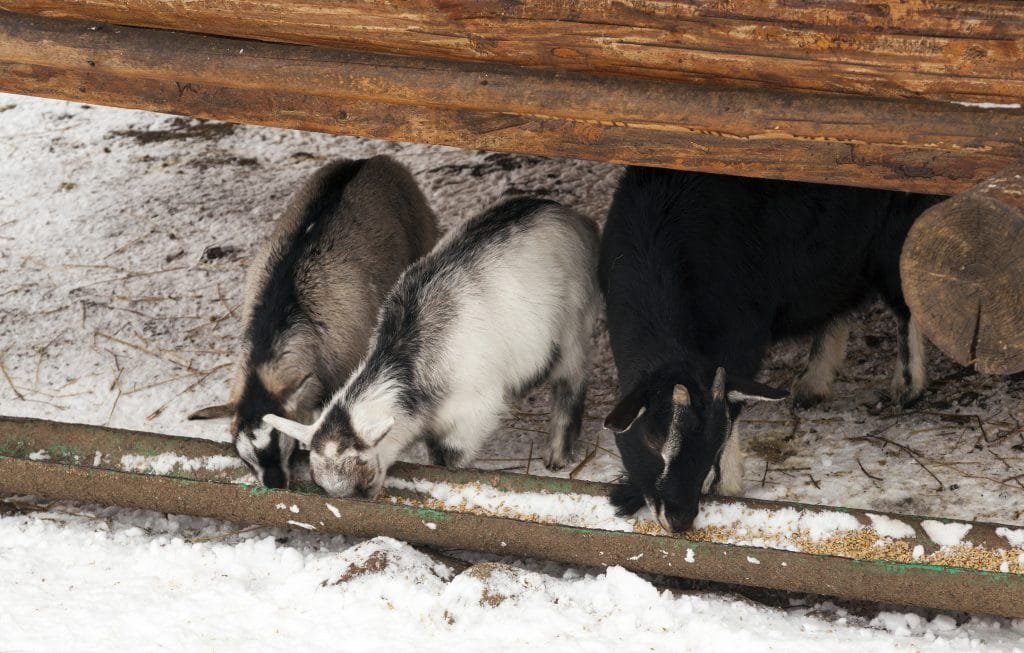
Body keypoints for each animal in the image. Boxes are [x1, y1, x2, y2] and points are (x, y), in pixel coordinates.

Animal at [262, 196, 598, 499]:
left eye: (366, 472)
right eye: (319, 482)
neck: (408, 355)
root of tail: (572, 217)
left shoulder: (471, 414)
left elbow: (448, 459)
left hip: (574, 323)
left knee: (572, 381)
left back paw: (557, 453)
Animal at [598, 165, 942, 536]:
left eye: (712, 444)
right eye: (652, 439)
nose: (680, 518)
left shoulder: (742, 335)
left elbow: (733, 406)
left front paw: (726, 485)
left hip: (897, 227)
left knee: (906, 294)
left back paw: (907, 386)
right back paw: (813, 384)